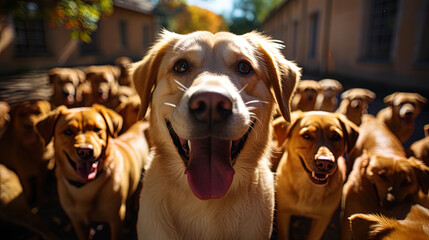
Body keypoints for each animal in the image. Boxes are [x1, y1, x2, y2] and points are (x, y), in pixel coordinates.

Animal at [35, 104, 149, 240]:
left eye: (97, 129)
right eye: (68, 131)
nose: (85, 151)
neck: (85, 187)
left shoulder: (116, 220)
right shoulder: (77, 222)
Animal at [272, 110, 360, 240]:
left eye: (336, 136)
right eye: (306, 135)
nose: (325, 163)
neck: (308, 189)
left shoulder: (323, 219)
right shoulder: (284, 213)